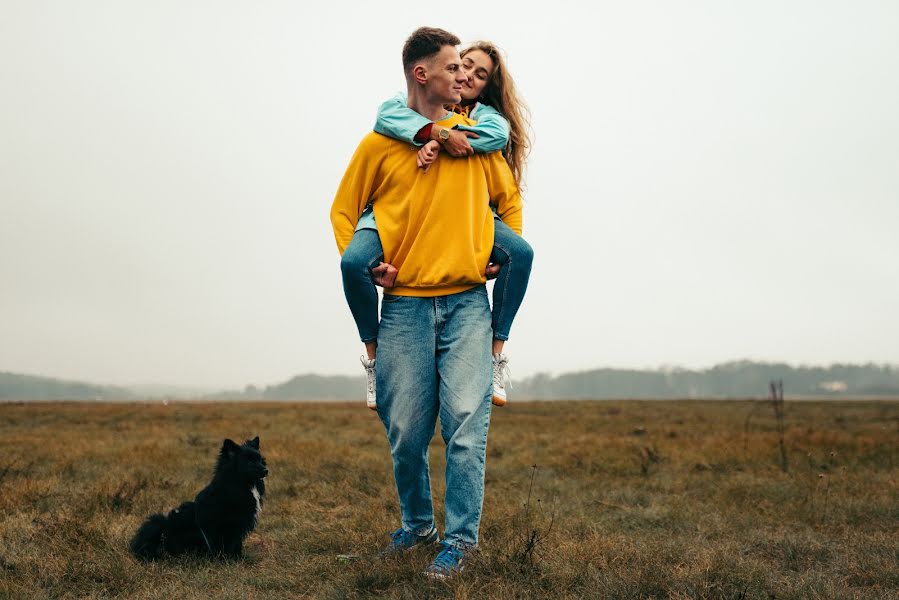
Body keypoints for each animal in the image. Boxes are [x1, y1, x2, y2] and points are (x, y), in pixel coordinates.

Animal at [130, 436, 268, 556]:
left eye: (261, 461)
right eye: (249, 462)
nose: (266, 470)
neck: (242, 484)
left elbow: (237, 544)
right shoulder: (231, 524)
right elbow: (231, 544)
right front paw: (231, 559)